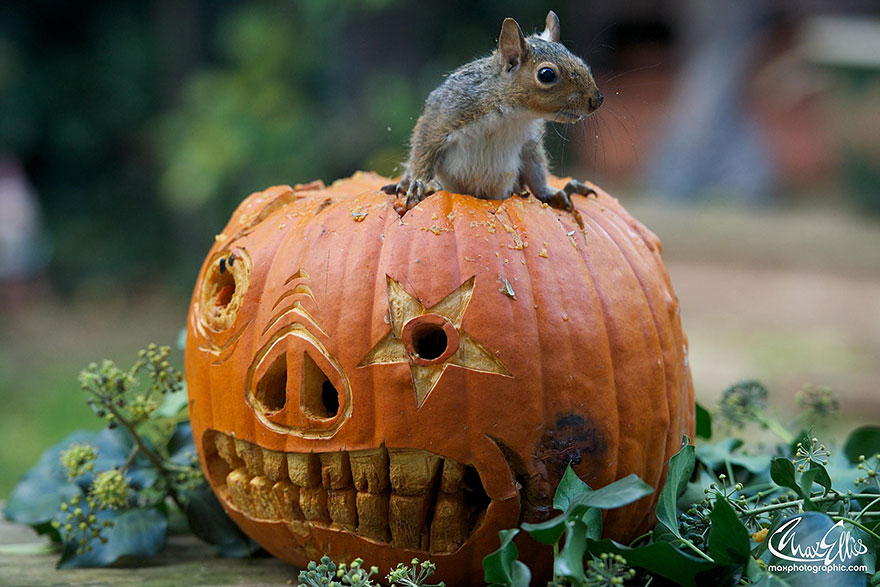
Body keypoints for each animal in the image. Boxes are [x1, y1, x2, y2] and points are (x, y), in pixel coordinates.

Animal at [383, 11, 603, 212]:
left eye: (582, 62)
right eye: (546, 74)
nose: (597, 100)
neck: (512, 115)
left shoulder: (529, 141)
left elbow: (535, 172)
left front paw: (553, 193)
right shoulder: (444, 114)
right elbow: (424, 147)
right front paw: (419, 183)